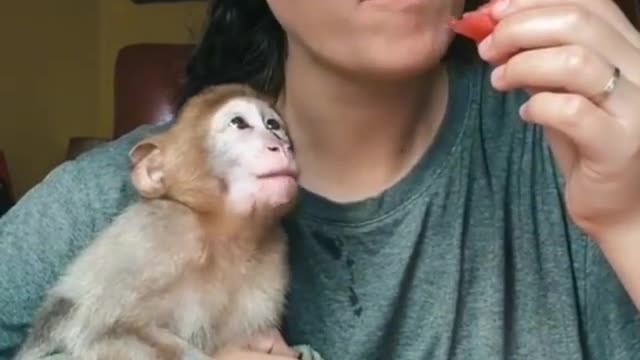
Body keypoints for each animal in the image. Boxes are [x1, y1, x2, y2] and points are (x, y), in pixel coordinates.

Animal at [13, 84, 302, 360]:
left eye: (273, 125)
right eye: (239, 123)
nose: (282, 146)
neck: (225, 236)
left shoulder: (273, 255)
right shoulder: (158, 234)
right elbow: (99, 334)